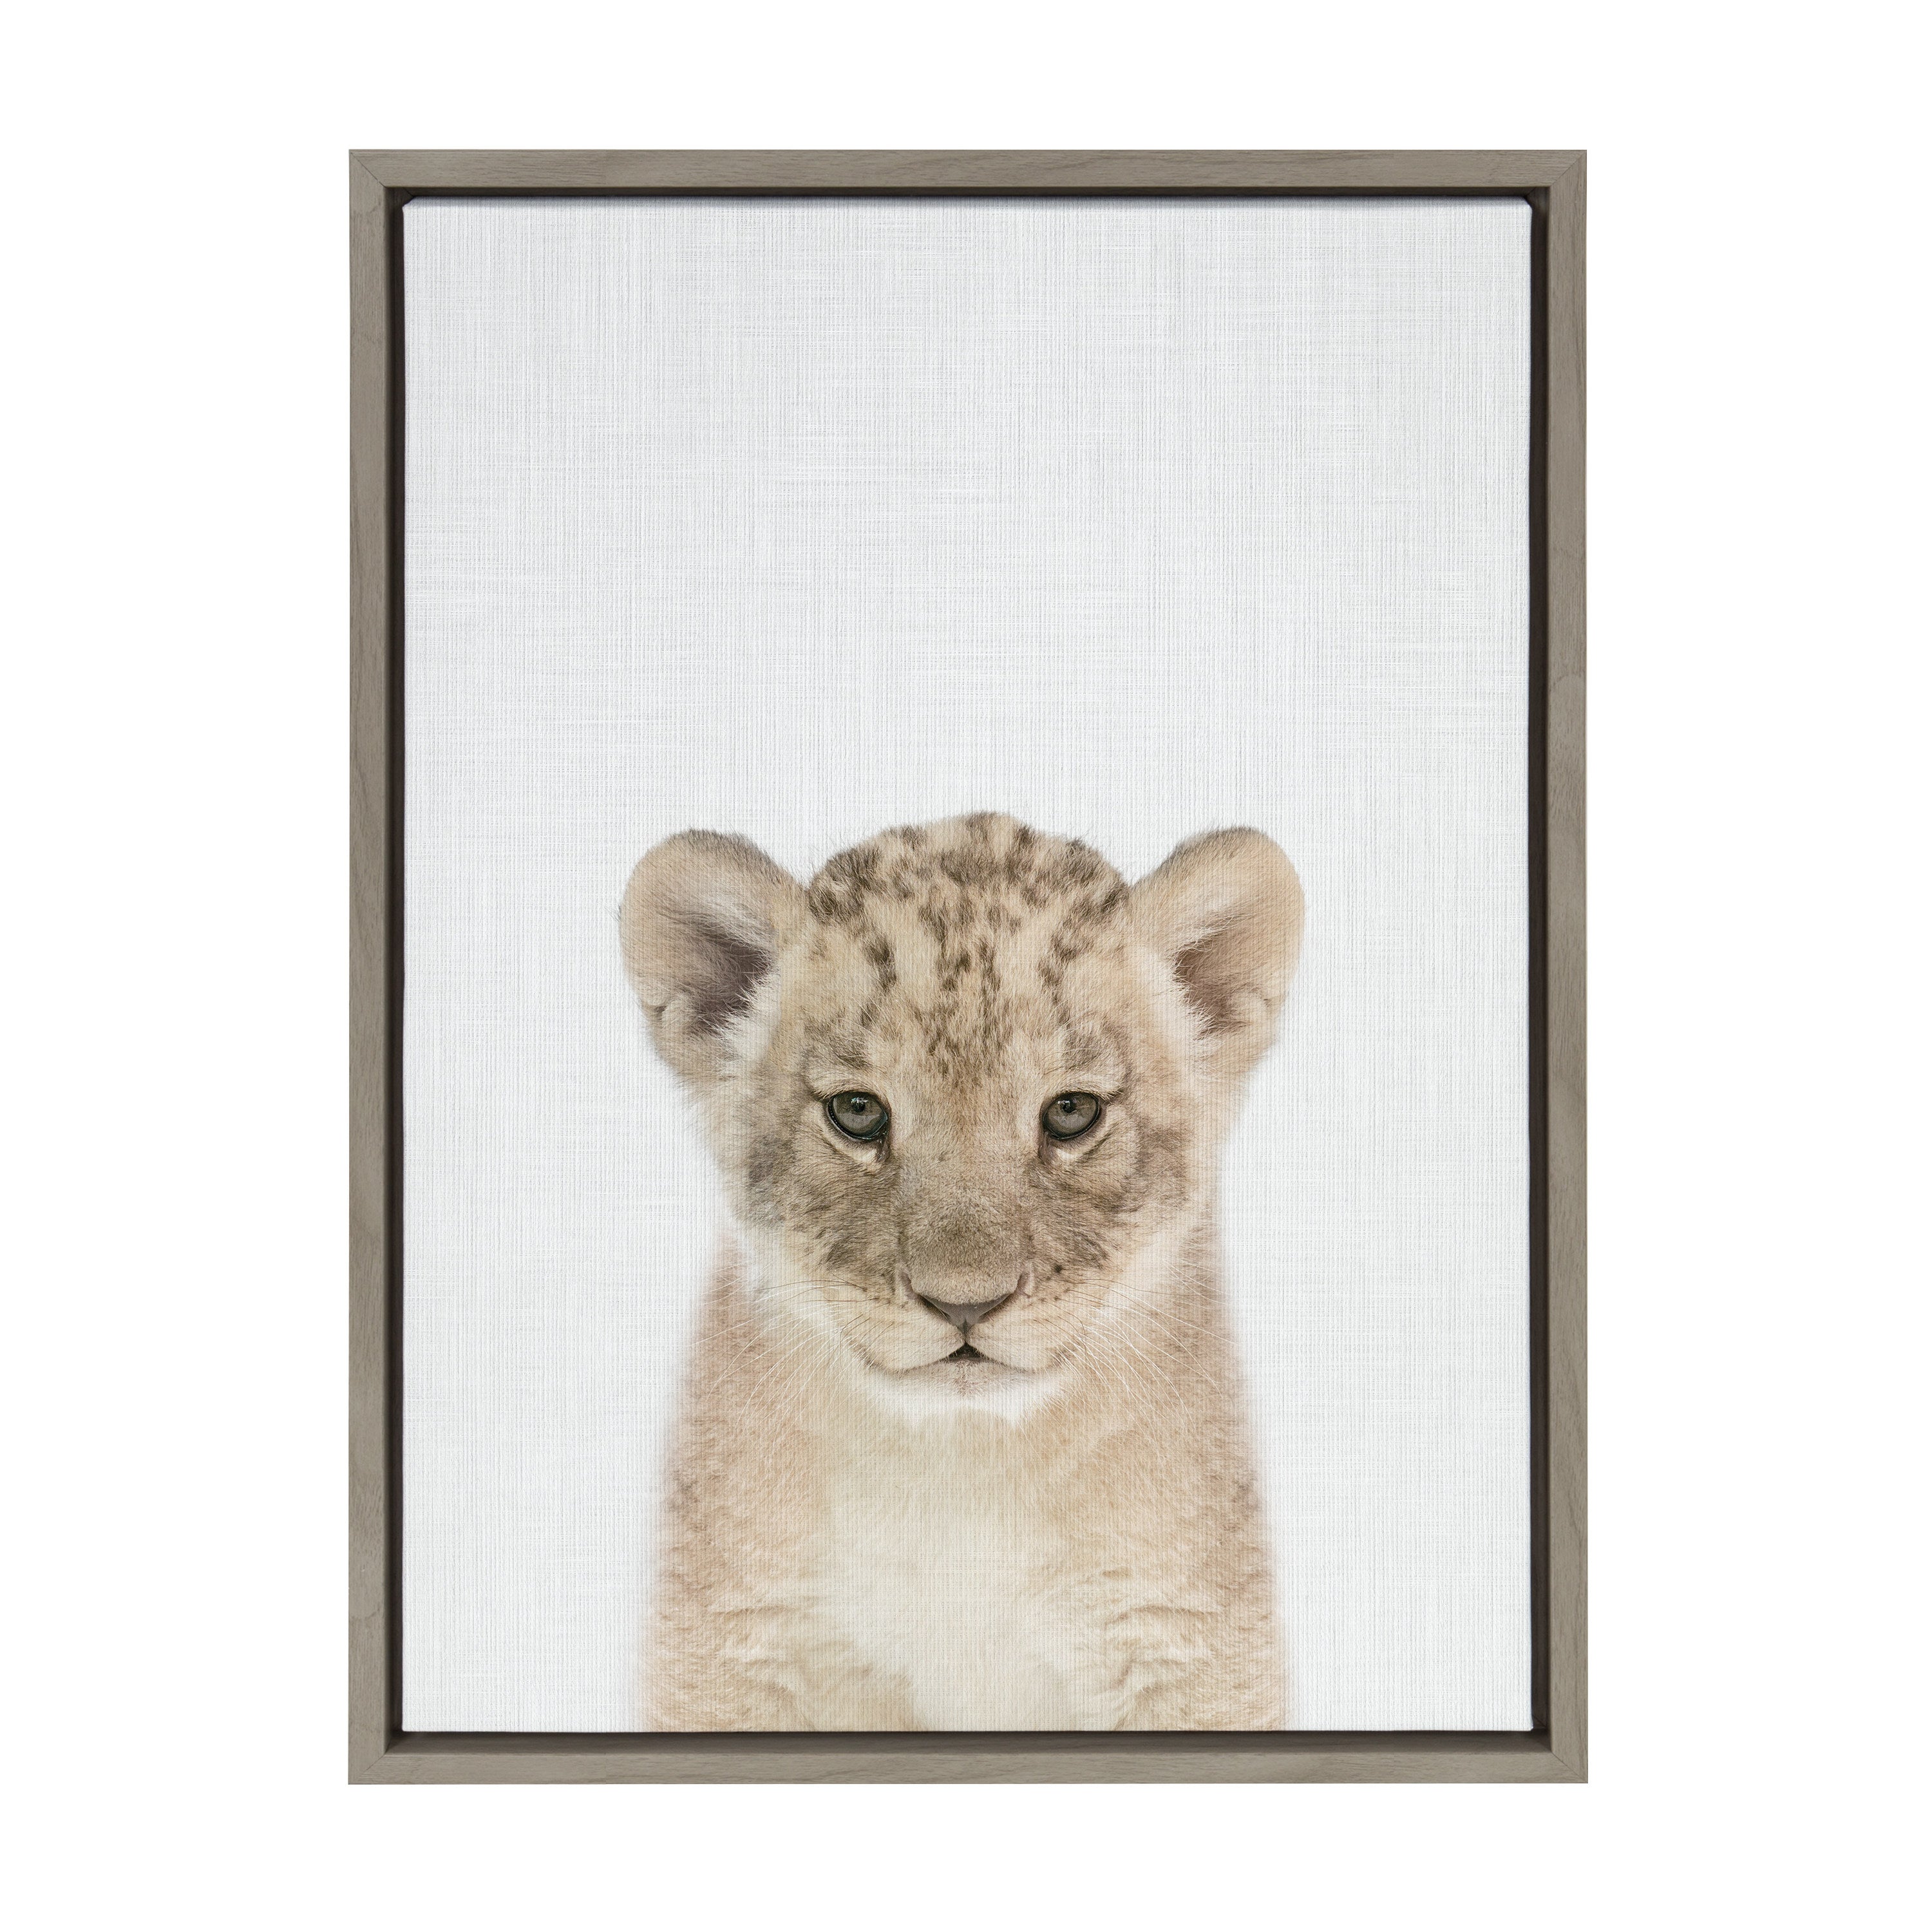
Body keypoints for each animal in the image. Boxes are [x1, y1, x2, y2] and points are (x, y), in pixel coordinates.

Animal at [620, 812, 1303, 1730]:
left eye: (1071, 1112)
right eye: (858, 1112)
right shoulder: (733, 1650)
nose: (966, 1305)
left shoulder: (1188, 1648)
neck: (961, 1467)